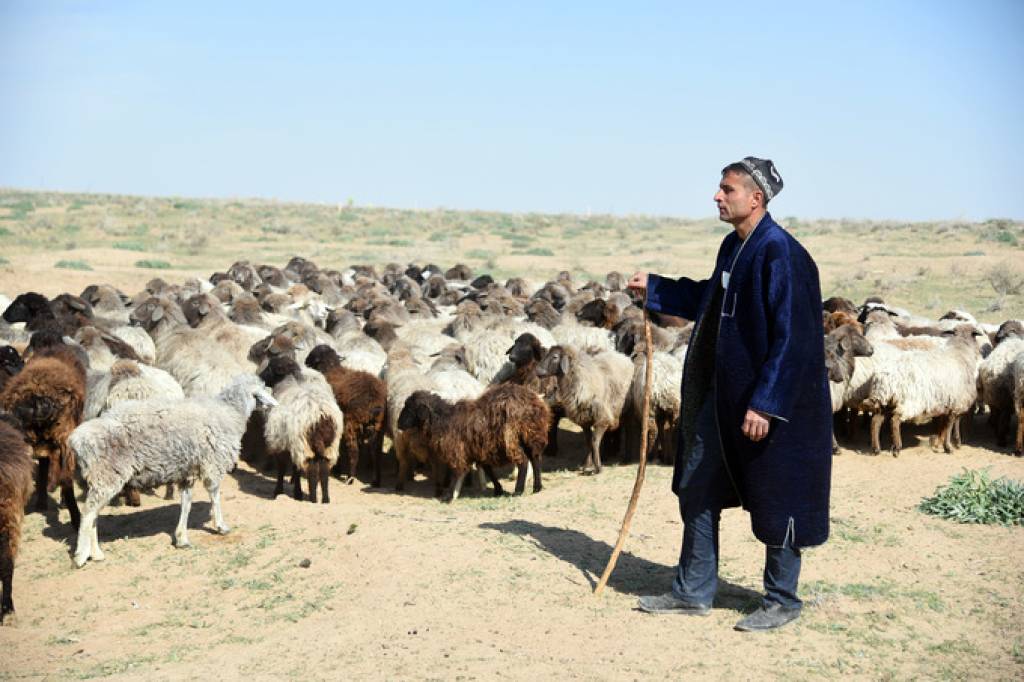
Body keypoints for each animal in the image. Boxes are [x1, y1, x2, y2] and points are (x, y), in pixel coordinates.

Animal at [69, 374, 277, 567]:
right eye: (262, 388)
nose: (272, 401)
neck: (229, 411)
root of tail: (77, 439)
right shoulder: (212, 464)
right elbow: (215, 496)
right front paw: (221, 526)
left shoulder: (187, 472)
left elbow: (186, 504)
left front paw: (182, 538)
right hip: (107, 475)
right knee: (88, 514)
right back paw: (81, 556)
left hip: (101, 478)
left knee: (93, 515)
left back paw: (96, 553)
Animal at [259, 356, 342, 503]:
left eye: (270, 367)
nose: (260, 377)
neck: (287, 385)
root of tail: (320, 415)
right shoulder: (290, 444)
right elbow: (294, 469)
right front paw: (296, 492)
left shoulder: (280, 443)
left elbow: (283, 468)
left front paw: (280, 491)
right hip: (330, 445)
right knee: (324, 470)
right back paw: (325, 499)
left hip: (303, 444)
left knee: (313, 471)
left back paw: (313, 499)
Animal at [304, 345, 387, 486]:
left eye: (312, 355)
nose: (305, 362)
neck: (330, 369)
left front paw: (337, 469)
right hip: (379, 428)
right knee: (376, 454)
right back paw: (376, 480)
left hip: (351, 424)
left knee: (354, 452)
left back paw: (350, 478)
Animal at [396, 384, 550, 501]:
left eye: (409, 409)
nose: (398, 424)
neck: (444, 420)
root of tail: (531, 401)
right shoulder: (479, 450)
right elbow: (488, 470)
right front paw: (498, 489)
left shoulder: (459, 450)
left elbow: (456, 472)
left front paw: (448, 495)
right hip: (531, 435)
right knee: (535, 459)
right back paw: (537, 487)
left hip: (511, 437)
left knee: (523, 461)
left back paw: (518, 490)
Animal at [535, 344, 633, 473]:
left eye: (555, 356)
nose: (537, 371)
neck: (581, 379)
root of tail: (623, 356)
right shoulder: (584, 420)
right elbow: (588, 442)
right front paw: (587, 464)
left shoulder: (602, 419)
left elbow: (595, 441)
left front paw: (598, 467)